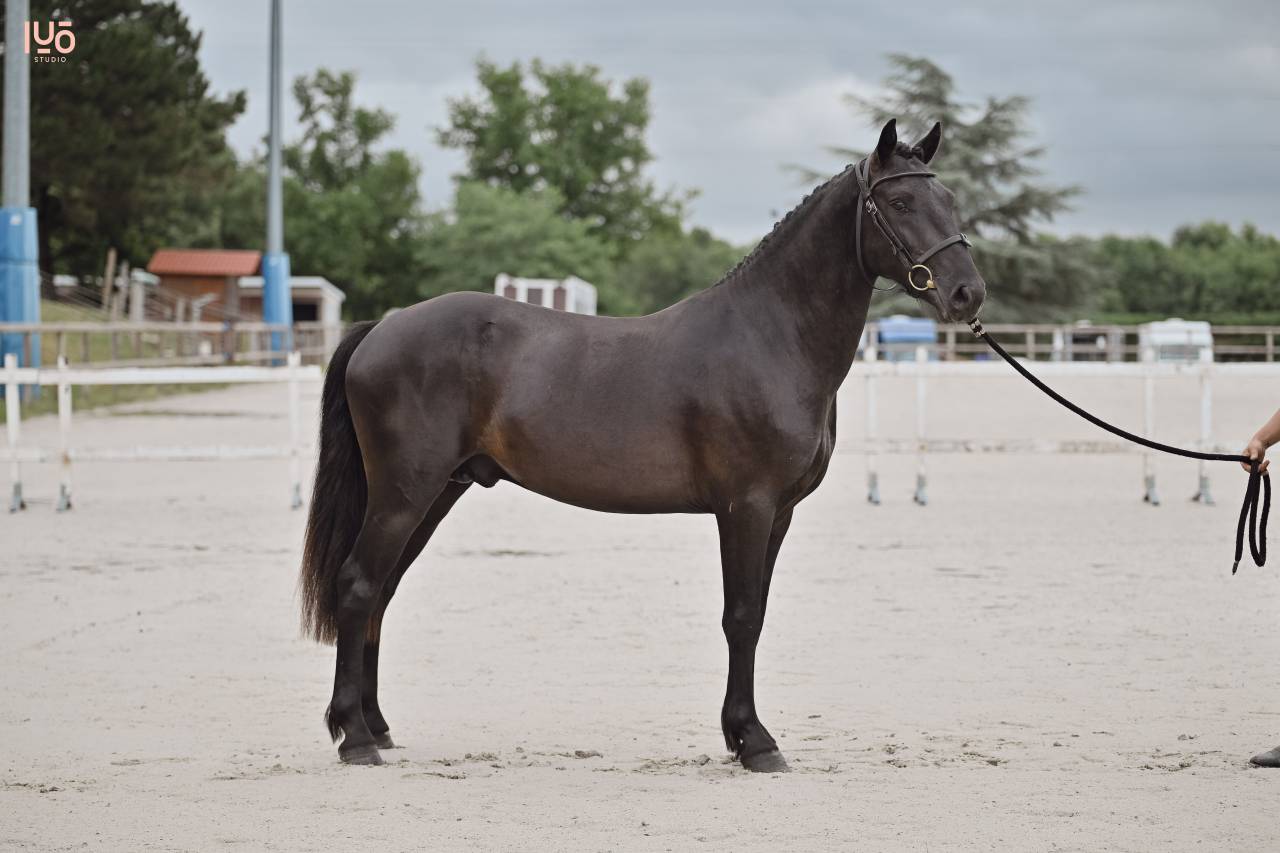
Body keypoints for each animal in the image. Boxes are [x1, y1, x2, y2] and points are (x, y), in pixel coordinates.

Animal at [299, 118, 986, 772]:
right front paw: (754, 742)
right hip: (404, 492)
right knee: (358, 585)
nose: (967, 293)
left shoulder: (780, 512)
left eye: (950, 199)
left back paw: (378, 728)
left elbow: (757, 614)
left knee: (380, 592)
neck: (769, 337)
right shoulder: (746, 506)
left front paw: (741, 735)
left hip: (438, 491)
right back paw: (354, 737)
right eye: (898, 201)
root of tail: (382, 328)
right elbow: (741, 617)